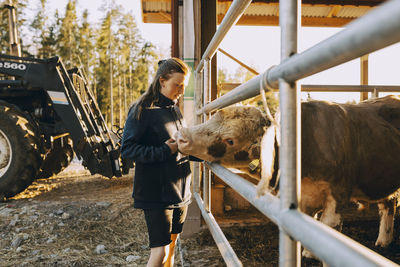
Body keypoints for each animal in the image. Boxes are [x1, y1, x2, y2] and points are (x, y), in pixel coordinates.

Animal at [177, 96, 400, 251]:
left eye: (230, 140)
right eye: (213, 117)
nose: (182, 137)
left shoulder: (336, 201)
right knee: (388, 204)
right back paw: (383, 240)